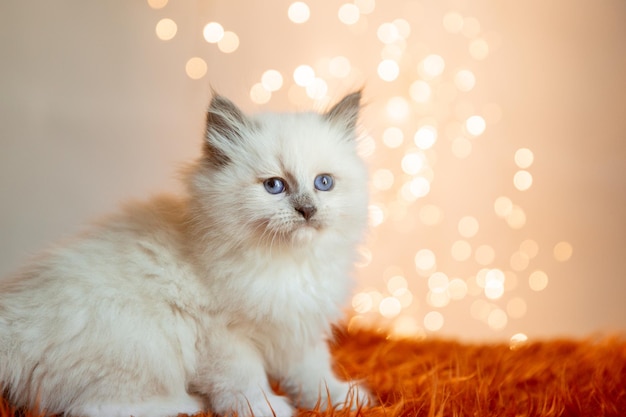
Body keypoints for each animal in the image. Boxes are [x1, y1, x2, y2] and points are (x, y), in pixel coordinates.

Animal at [0, 92, 370, 416]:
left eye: (323, 183)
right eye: (274, 186)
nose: (307, 210)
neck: (288, 262)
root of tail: (12, 325)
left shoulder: (298, 329)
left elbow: (313, 375)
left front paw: (343, 400)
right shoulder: (224, 337)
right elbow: (246, 383)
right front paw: (267, 408)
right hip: (143, 342)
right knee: (93, 408)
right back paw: (189, 404)